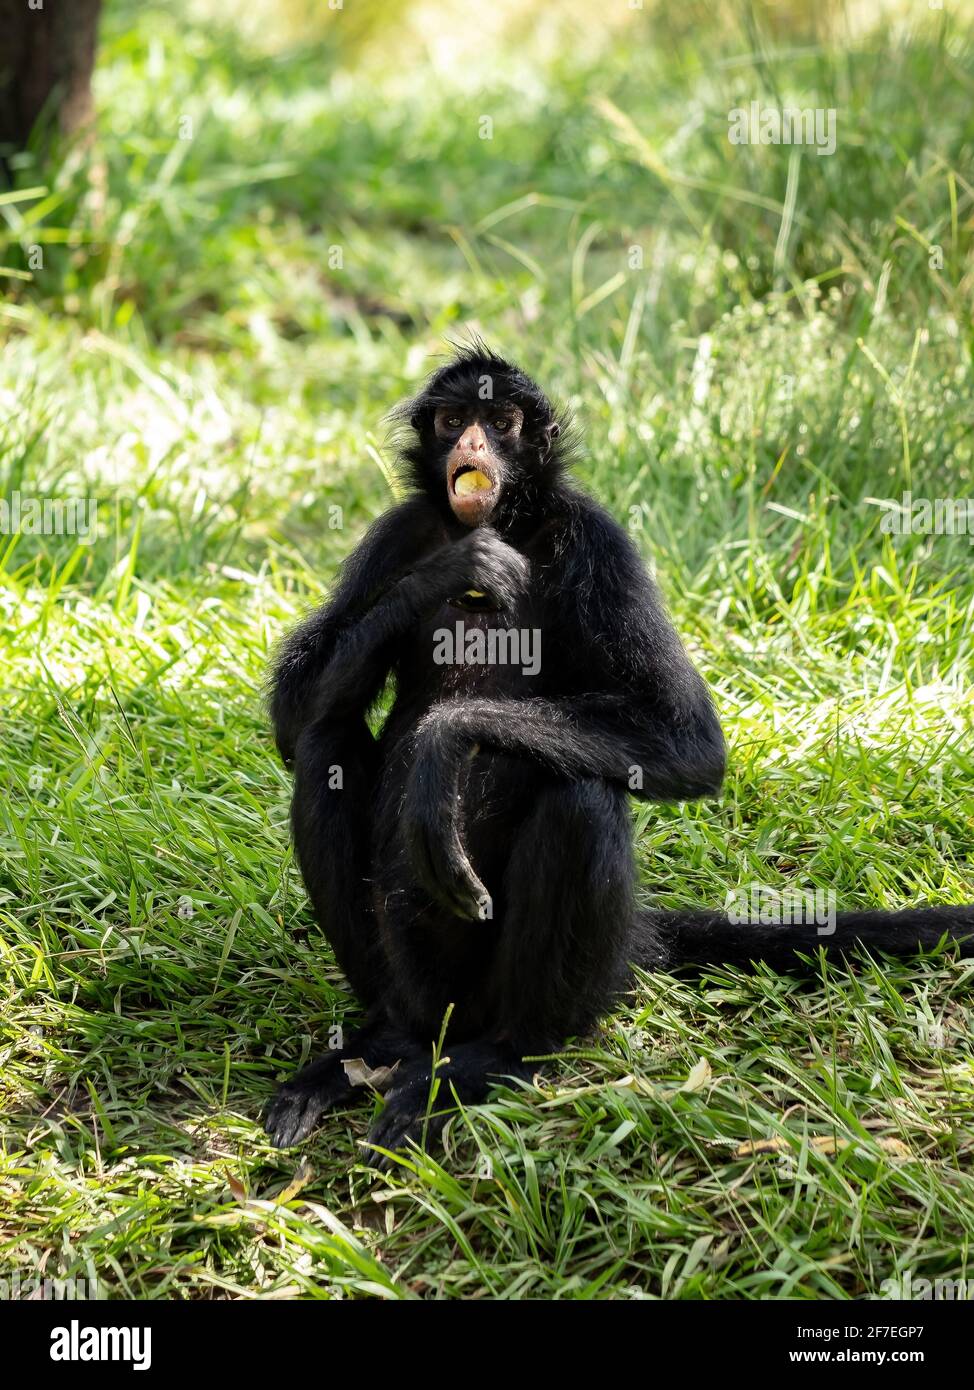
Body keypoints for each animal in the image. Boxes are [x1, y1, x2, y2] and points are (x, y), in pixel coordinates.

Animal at [264, 342, 974, 1166]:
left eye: (501, 423)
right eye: (452, 420)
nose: (471, 443)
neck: (515, 525)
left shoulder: (592, 534)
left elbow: (688, 742)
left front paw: (445, 746)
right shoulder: (402, 530)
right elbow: (293, 715)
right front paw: (454, 570)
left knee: (578, 793)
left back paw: (497, 1056)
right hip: (417, 975)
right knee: (329, 741)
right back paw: (387, 1043)